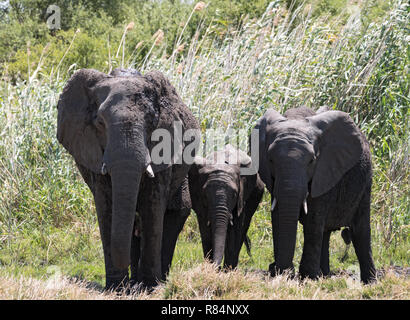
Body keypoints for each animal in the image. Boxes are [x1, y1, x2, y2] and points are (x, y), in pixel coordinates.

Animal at [56, 67, 199, 290]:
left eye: (151, 121)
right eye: (100, 122)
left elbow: (152, 207)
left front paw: (150, 288)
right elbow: (106, 207)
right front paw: (117, 289)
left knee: (175, 213)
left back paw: (156, 281)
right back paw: (133, 283)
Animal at [253, 107, 378, 282]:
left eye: (312, 161)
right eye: (270, 160)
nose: (285, 271)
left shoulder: (324, 171)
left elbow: (313, 220)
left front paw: (307, 277)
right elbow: (277, 218)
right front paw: (280, 273)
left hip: (365, 182)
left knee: (360, 230)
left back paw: (370, 282)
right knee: (325, 232)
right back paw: (324, 275)